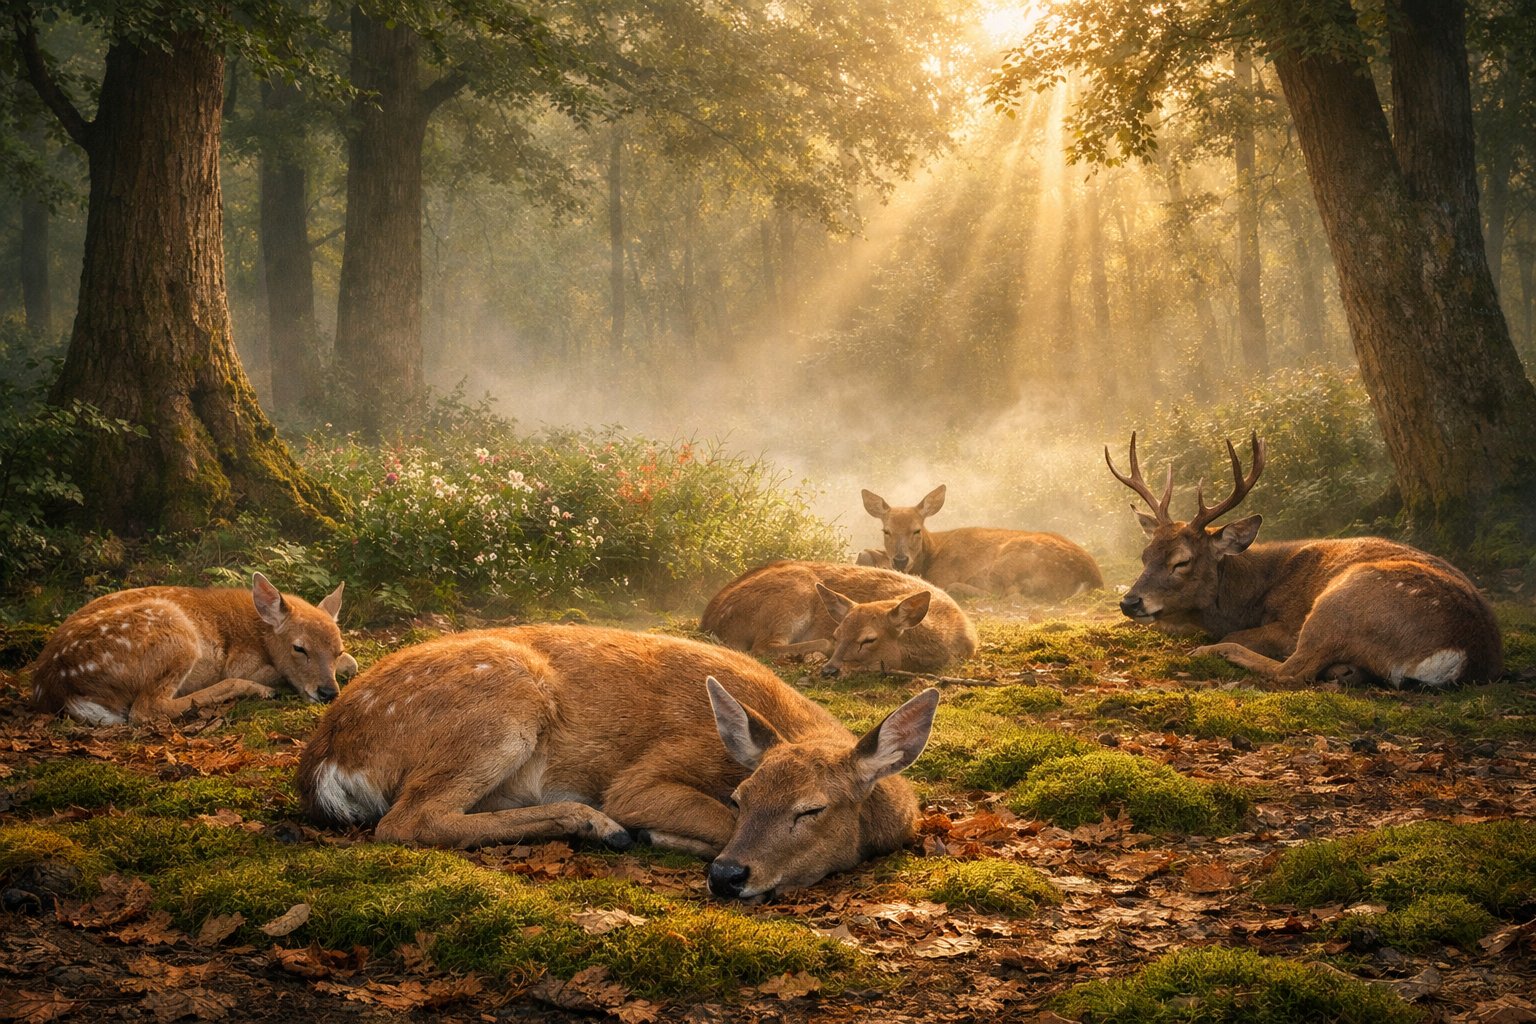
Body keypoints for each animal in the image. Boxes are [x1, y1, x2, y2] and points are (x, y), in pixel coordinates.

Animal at [30, 573, 354, 724]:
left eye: (337, 650)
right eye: (299, 648)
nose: (328, 692)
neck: (259, 630)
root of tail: (56, 685)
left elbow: (354, 662)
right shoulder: (241, 661)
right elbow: (273, 673)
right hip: (175, 632)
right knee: (146, 709)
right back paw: (257, 691)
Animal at [297, 624, 939, 901]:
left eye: (812, 809)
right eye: (741, 798)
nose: (728, 876)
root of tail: (327, 760)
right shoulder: (642, 777)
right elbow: (691, 815)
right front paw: (660, 834)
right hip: (503, 706)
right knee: (407, 821)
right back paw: (601, 826)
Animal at [701, 561, 977, 678]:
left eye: (869, 639)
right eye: (837, 633)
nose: (830, 671)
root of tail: (709, 621)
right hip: (793, 594)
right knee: (763, 647)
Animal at [857, 485, 1103, 600]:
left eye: (916, 530)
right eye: (886, 531)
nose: (900, 560)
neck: (932, 555)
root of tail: (1092, 579)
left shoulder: (944, 573)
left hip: (1011, 559)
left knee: (1006, 593)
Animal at [1106, 432, 1503, 687]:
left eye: (1181, 562)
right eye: (1144, 555)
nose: (1129, 602)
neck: (1248, 596)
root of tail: (1463, 653)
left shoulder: (1287, 624)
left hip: (1342, 600)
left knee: (1293, 671)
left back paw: (1213, 651)